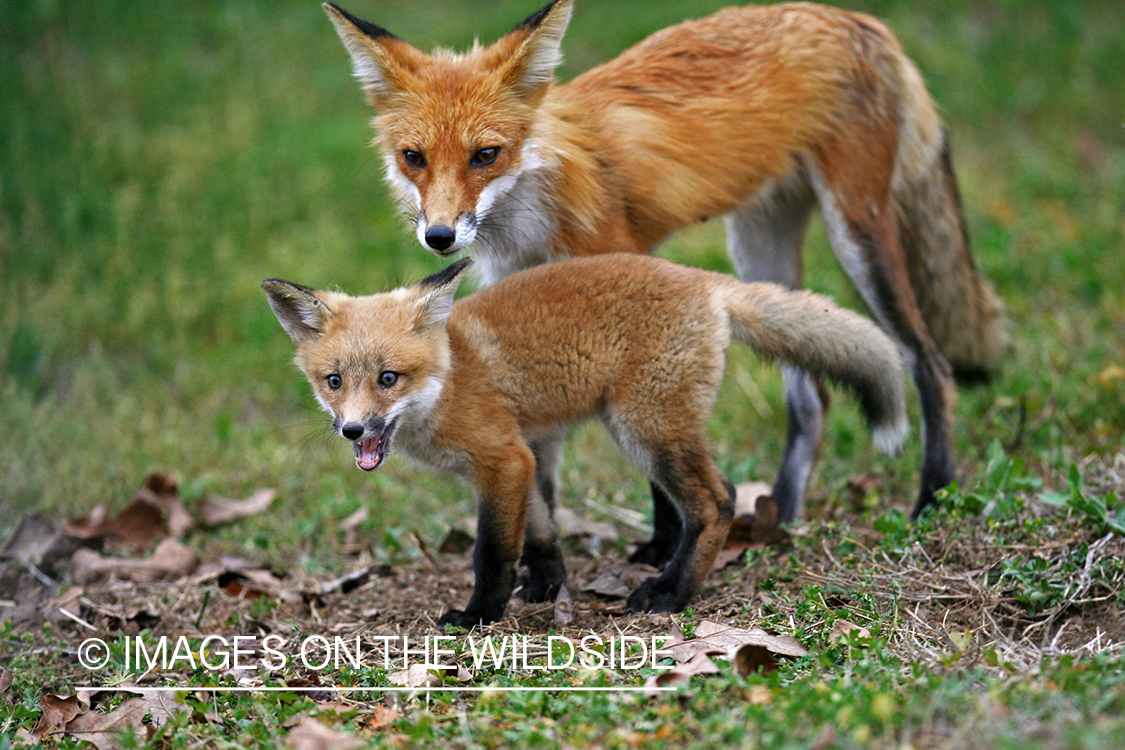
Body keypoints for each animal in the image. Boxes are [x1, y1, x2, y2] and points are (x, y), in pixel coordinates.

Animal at [263, 253, 908, 627]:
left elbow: (492, 551)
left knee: (718, 499)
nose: (352, 429)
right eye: (334, 381)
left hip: (644, 428)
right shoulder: (525, 458)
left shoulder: (501, 458)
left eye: (388, 379)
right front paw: (547, 589)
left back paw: (670, 594)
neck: (450, 377)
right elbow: (543, 532)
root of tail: (704, 279)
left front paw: (477, 616)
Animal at [322, 0, 1010, 522]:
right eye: (414, 158)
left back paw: (933, 497)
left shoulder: (623, 273)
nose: (439, 237)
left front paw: (657, 553)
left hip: (857, 236)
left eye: (485, 155)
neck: (535, 211)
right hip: (758, 248)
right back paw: (782, 517)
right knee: (813, 394)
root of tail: (856, 19)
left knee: (930, 363)